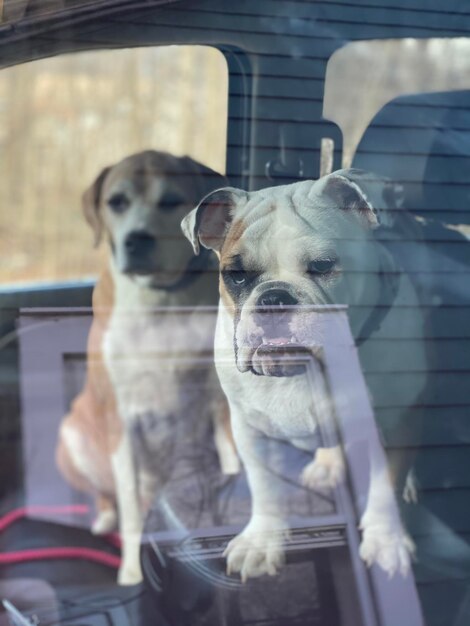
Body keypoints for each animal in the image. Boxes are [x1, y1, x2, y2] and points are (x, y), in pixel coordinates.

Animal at [56, 151, 239, 584]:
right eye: (116, 202)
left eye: (170, 200)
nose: (136, 240)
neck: (160, 304)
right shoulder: (121, 418)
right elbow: (130, 508)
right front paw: (131, 571)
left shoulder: (215, 392)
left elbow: (230, 449)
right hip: (71, 435)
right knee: (111, 495)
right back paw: (106, 518)